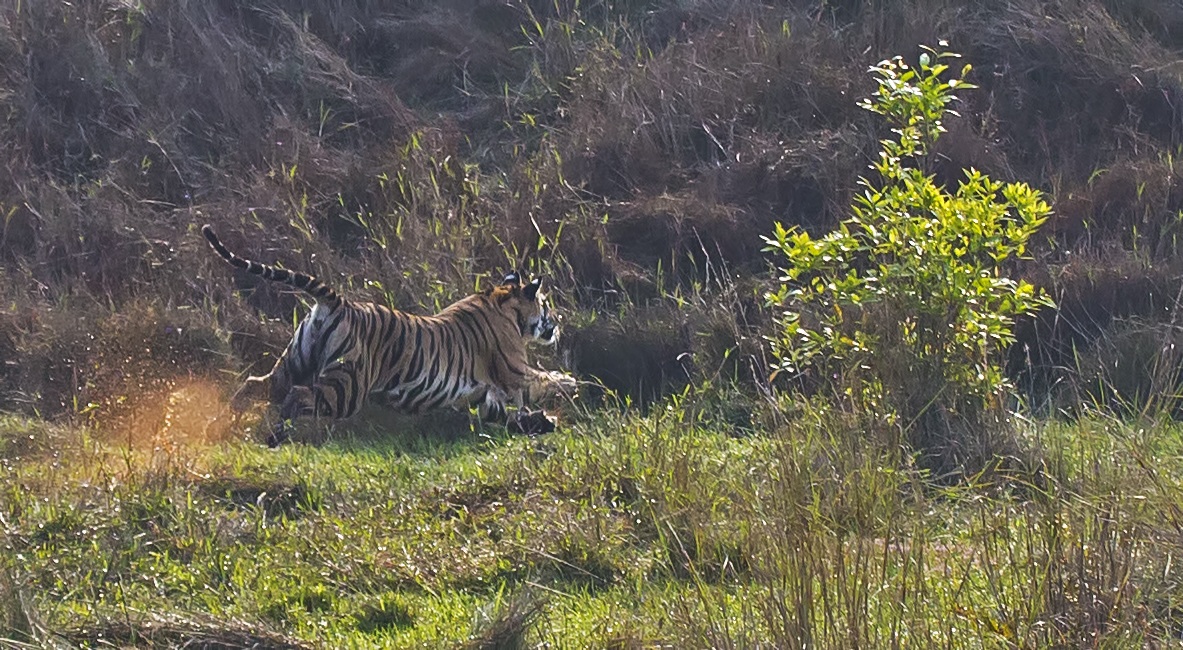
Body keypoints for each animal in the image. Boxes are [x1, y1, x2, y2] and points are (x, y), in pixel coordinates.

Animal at [202, 225, 578, 446]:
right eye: (546, 304)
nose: (557, 322)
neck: (503, 302)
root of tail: (338, 302)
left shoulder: (478, 395)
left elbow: (506, 414)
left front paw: (540, 422)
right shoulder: (513, 371)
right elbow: (546, 378)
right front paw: (570, 387)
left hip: (294, 362)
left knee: (255, 383)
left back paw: (221, 424)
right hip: (347, 387)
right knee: (298, 397)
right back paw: (275, 436)